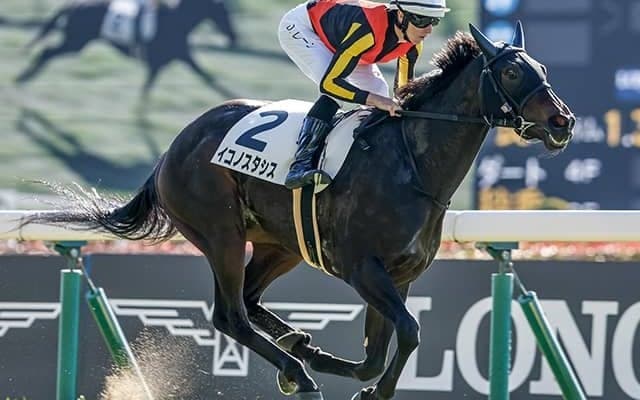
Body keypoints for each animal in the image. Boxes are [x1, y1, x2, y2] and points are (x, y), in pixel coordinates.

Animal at [15, 0, 237, 96]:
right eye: (224, 13)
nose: (234, 37)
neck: (176, 20)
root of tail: (75, 5)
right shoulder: (174, 58)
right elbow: (206, 77)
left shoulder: (171, 60)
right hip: (75, 42)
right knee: (47, 52)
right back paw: (23, 78)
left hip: (74, 42)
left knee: (47, 52)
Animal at [24, 24, 575, 399]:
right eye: (510, 71)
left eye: (545, 70)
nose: (563, 122)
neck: (412, 165)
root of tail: (172, 149)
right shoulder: (362, 267)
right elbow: (408, 333)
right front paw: (364, 385)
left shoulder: (400, 275)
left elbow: (379, 350)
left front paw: (351, 374)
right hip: (221, 233)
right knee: (230, 314)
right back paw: (297, 371)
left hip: (279, 245)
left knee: (249, 301)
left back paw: (297, 346)